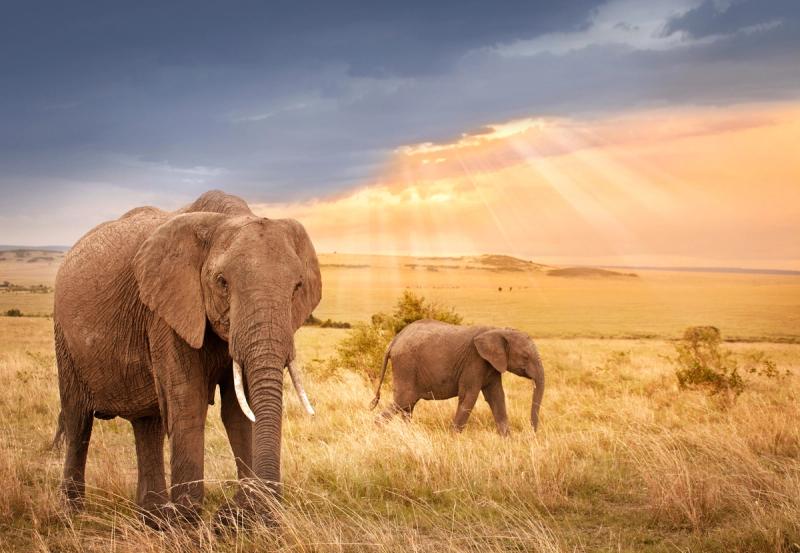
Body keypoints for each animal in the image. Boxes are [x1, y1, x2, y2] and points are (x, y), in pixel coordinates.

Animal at [52, 190, 321, 527]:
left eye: (297, 287)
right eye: (222, 282)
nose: (238, 511)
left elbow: (239, 412)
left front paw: (241, 518)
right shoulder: (166, 310)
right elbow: (188, 400)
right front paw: (189, 521)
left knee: (147, 424)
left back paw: (153, 519)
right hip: (64, 337)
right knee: (78, 421)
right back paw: (72, 516)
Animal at [369, 320, 544, 435]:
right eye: (526, 357)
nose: (532, 434)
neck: (498, 330)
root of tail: (394, 341)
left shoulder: (491, 365)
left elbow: (497, 397)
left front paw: (507, 439)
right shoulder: (474, 361)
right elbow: (469, 396)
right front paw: (453, 438)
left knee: (407, 405)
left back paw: (409, 434)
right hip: (406, 365)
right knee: (404, 400)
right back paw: (377, 429)